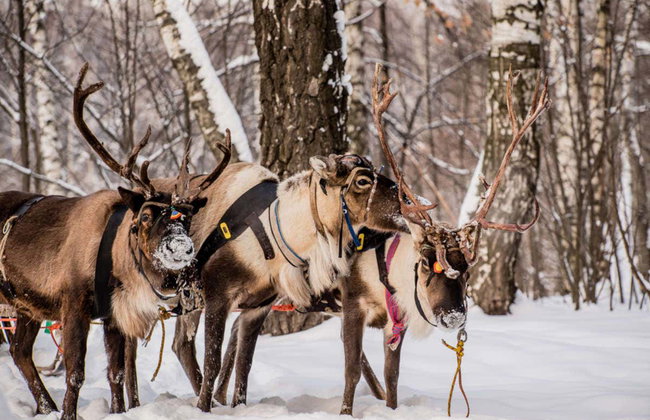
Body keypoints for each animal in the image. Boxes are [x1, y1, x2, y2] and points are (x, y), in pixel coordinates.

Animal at [0, 63, 229, 420]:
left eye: (188, 216)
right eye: (147, 215)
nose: (181, 248)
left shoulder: (112, 315)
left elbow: (116, 372)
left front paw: (117, 411)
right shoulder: (73, 303)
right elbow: (76, 372)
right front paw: (68, 415)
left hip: (25, 305)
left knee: (19, 351)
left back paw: (46, 406)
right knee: (20, 351)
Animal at [210, 65, 550, 416]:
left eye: (467, 268)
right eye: (426, 262)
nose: (454, 315)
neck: (386, 273)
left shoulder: (395, 322)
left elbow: (392, 376)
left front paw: (390, 408)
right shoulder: (352, 305)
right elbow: (351, 370)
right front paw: (345, 412)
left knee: (236, 329)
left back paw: (220, 396)